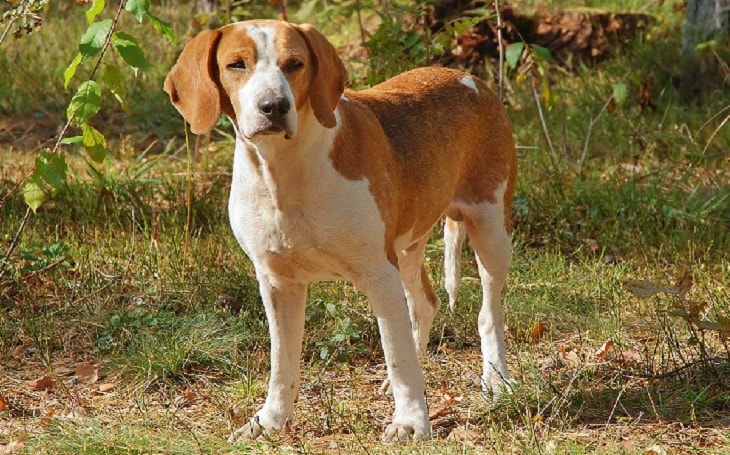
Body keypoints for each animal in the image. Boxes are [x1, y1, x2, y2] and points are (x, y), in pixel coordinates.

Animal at [165, 19, 516, 444]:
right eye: (236, 64)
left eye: (295, 64)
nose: (274, 106)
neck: (286, 170)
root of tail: (469, 78)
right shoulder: (277, 283)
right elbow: (282, 364)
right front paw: (270, 422)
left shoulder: (379, 275)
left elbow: (398, 356)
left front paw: (410, 421)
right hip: (408, 245)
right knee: (425, 303)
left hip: (490, 229)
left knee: (488, 313)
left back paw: (497, 380)